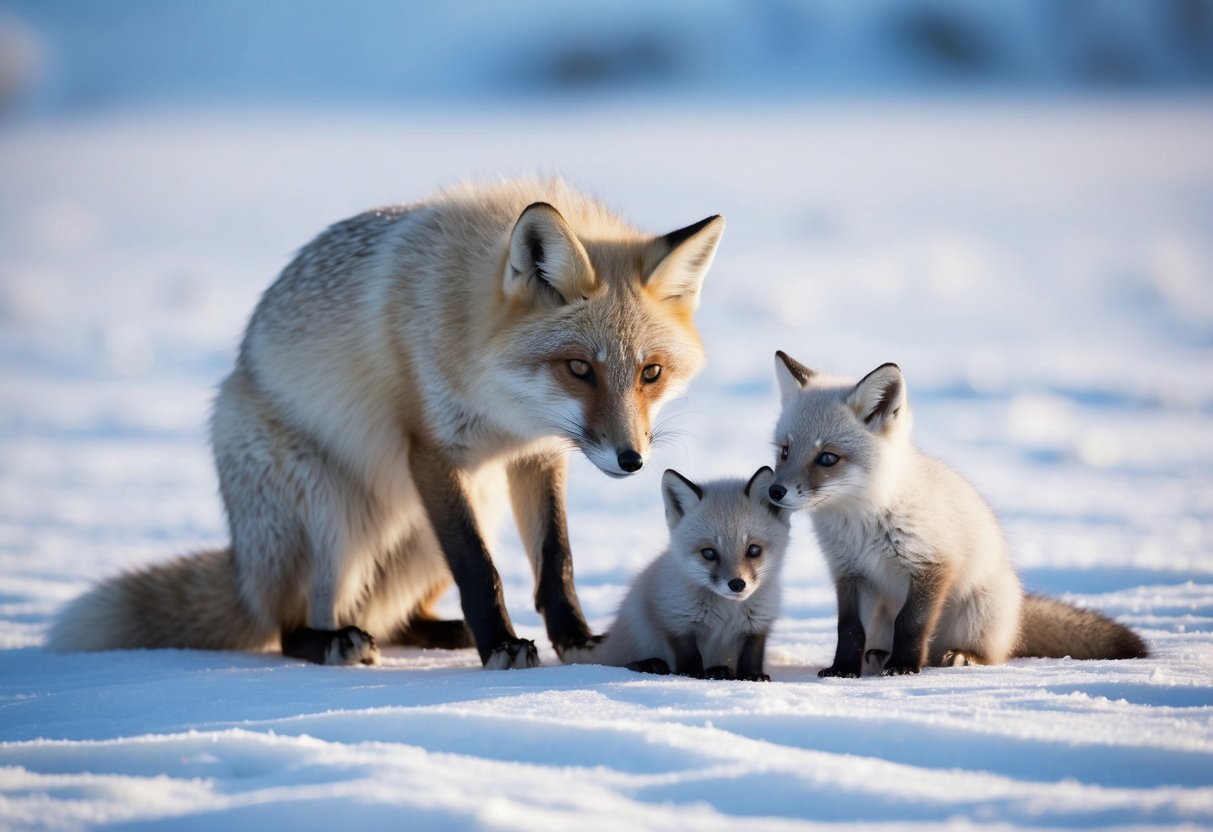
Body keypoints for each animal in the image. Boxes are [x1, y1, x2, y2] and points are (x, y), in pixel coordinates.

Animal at [48, 178, 726, 669]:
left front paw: (580, 642)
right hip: (331, 511)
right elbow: (479, 568)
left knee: (394, 617)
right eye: (580, 368)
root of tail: (243, 565)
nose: (632, 459)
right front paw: (502, 647)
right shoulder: (430, 450)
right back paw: (332, 642)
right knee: (290, 623)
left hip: (438, 525)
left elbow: (555, 562)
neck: (503, 406)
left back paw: (442, 632)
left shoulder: (536, 455)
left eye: (651, 372)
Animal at [563, 467, 790, 680]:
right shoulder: (675, 621)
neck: (726, 612)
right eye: (709, 553)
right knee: (623, 663)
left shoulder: (757, 625)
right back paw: (651, 665)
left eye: (754, 550)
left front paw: (752, 677)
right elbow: (689, 657)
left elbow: (752, 656)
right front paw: (691, 676)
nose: (737, 584)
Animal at [766, 351, 1148, 677]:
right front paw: (843, 669)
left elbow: (912, 624)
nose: (774, 492)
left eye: (827, 458)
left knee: (984, 654)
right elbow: (847, 629)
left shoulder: (932, 564)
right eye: (785, 451)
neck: (863, 522)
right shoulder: (849, 573)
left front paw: (904, 666)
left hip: (975, 612)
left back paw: (957, 657)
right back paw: (877, 657)